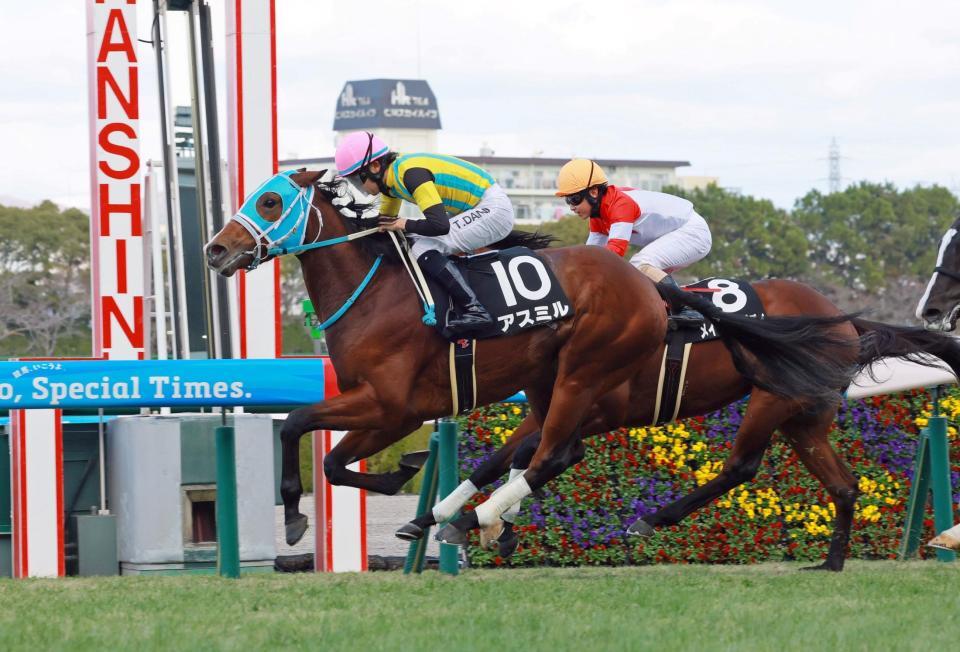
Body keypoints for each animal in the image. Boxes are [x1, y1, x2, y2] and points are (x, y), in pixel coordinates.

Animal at [206, 169, 860, 548]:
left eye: (270, 201)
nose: (216, 250)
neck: (377, 292)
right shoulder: (383, 407)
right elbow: (333, 460)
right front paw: (408, 485)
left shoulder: (390, 404)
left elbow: (297, 426)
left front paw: (305, 515)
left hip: (600, 376)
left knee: (561, 456)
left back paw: (486, 519)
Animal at [402, 279, 960, 571]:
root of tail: (845, 320)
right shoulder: (557, 407)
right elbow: (502, 457)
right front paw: (441, 518)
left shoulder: (591, 410)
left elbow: (534, 455)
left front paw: (485, 522)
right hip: (803, 419)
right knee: (843, 485)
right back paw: (830, 562)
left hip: (771, 398)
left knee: (741, 466)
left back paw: (652, 518)